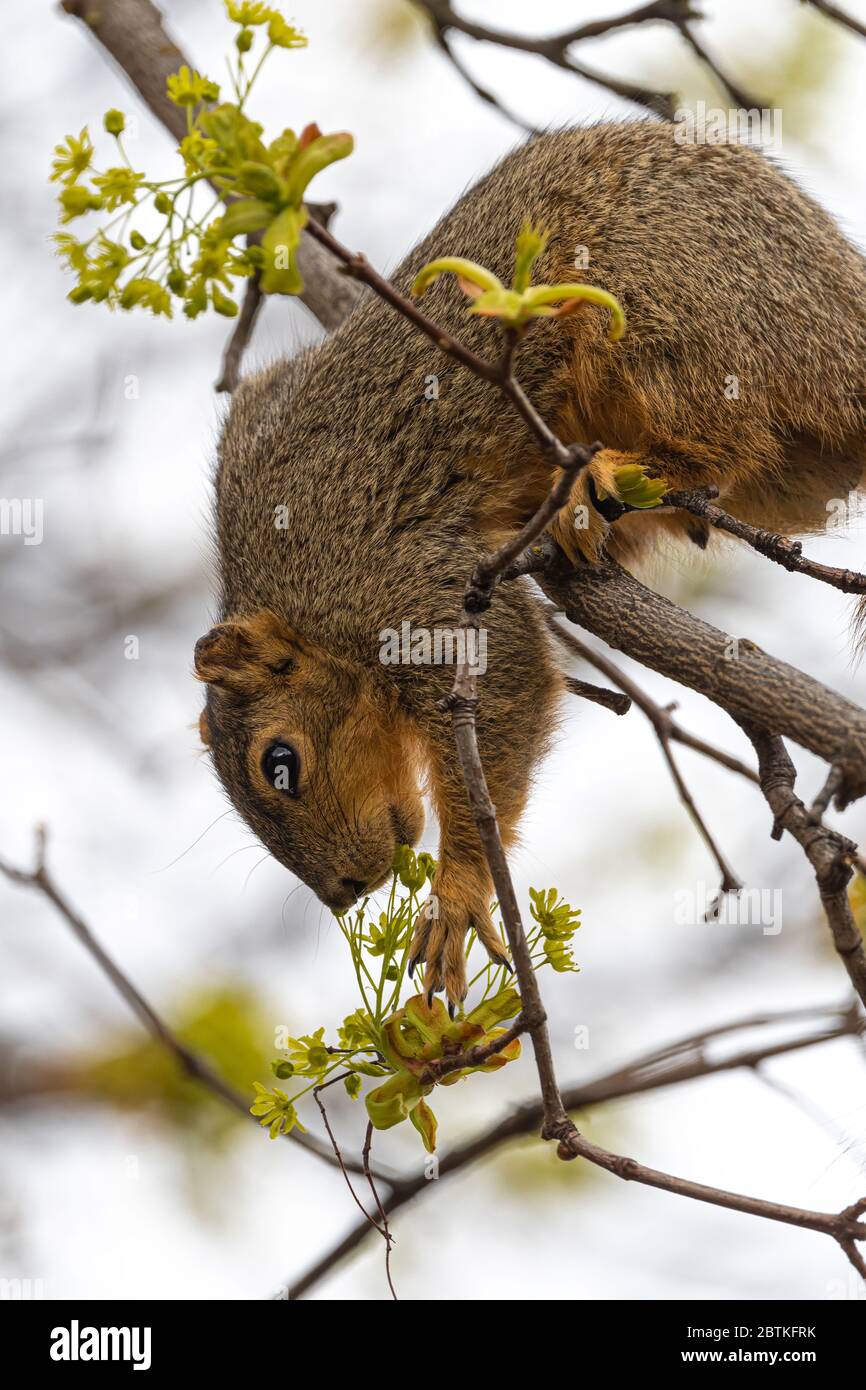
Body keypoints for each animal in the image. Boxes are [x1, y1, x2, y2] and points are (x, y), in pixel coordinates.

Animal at [195, 121, 866, 1008]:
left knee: (720, 433)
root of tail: (846, 321)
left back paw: (602, 479)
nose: (344, 892)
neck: (296, 599)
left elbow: (507, 681)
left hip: (664, 313)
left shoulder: (402, 586)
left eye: (280, 764)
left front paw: (457, 892)